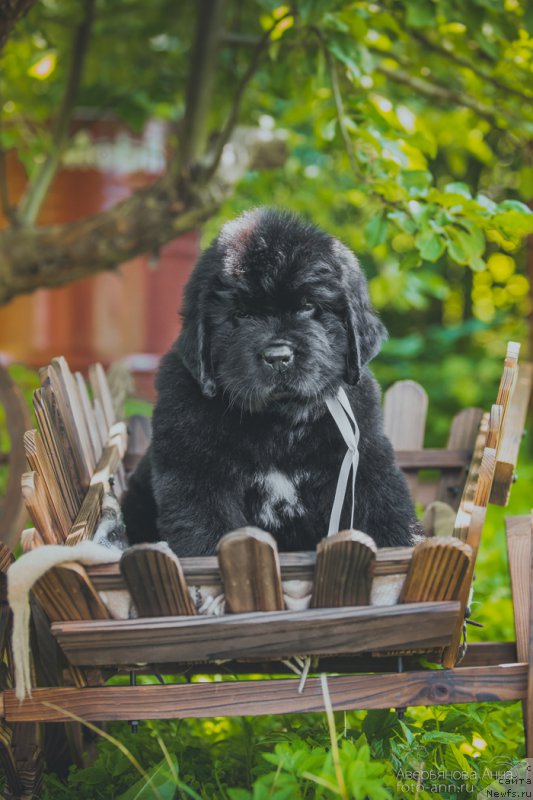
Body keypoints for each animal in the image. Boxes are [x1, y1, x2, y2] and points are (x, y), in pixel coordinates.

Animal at [122, 209, 418, 552]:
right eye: (242, 314)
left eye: (308, 306)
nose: (278, 356)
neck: (278, 422)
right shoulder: (196, 470)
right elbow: (207, 531)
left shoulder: (366, 457)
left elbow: (383, 508)